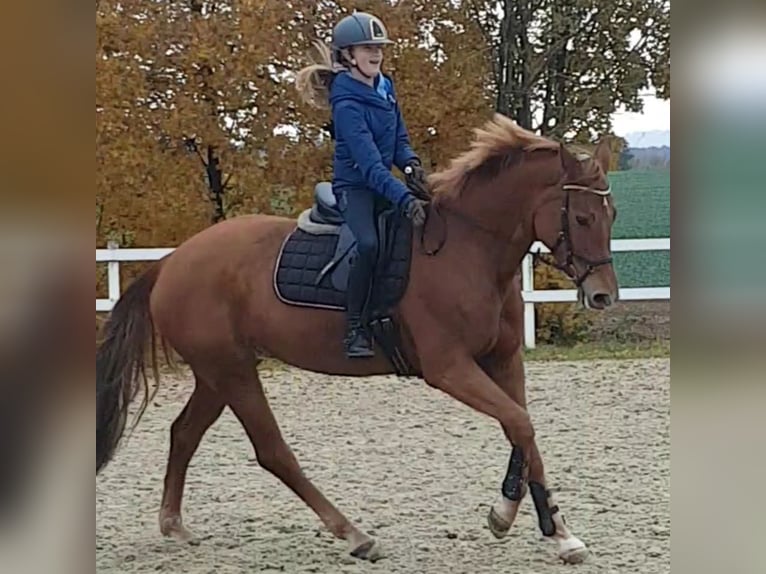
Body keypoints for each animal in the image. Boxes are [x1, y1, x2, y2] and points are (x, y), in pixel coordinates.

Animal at [97, 115, 624, 564]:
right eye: (581, 218)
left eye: (612, 213)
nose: (603, 295)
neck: (470, 249)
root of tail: (172, 261)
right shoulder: (450, 369)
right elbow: (520, 423)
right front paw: (509, 515)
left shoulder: (504, 360)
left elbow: (524, 433)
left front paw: (556, 532)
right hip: (232, 372)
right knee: (272, 451)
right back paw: (354, 534)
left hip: (218, 373)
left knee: (184, 433)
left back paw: (173, 524)